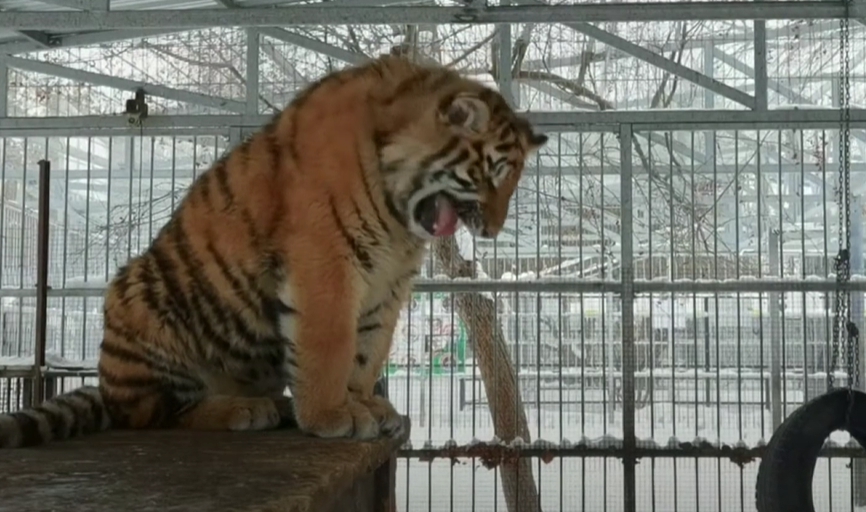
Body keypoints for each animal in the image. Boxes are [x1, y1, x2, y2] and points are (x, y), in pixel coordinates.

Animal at [0, 54, 547, 448]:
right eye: (494, 174)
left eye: (513, 182)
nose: (495, 229)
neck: (399, 215)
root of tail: (108, 386)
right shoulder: (327, 258)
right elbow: (330, 343)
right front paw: (332, 415)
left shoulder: (389, 282)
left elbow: (369, 350)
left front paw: (368, 406)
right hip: (140, 306)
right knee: (154, 415)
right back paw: (243, 409)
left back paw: (276, 406)